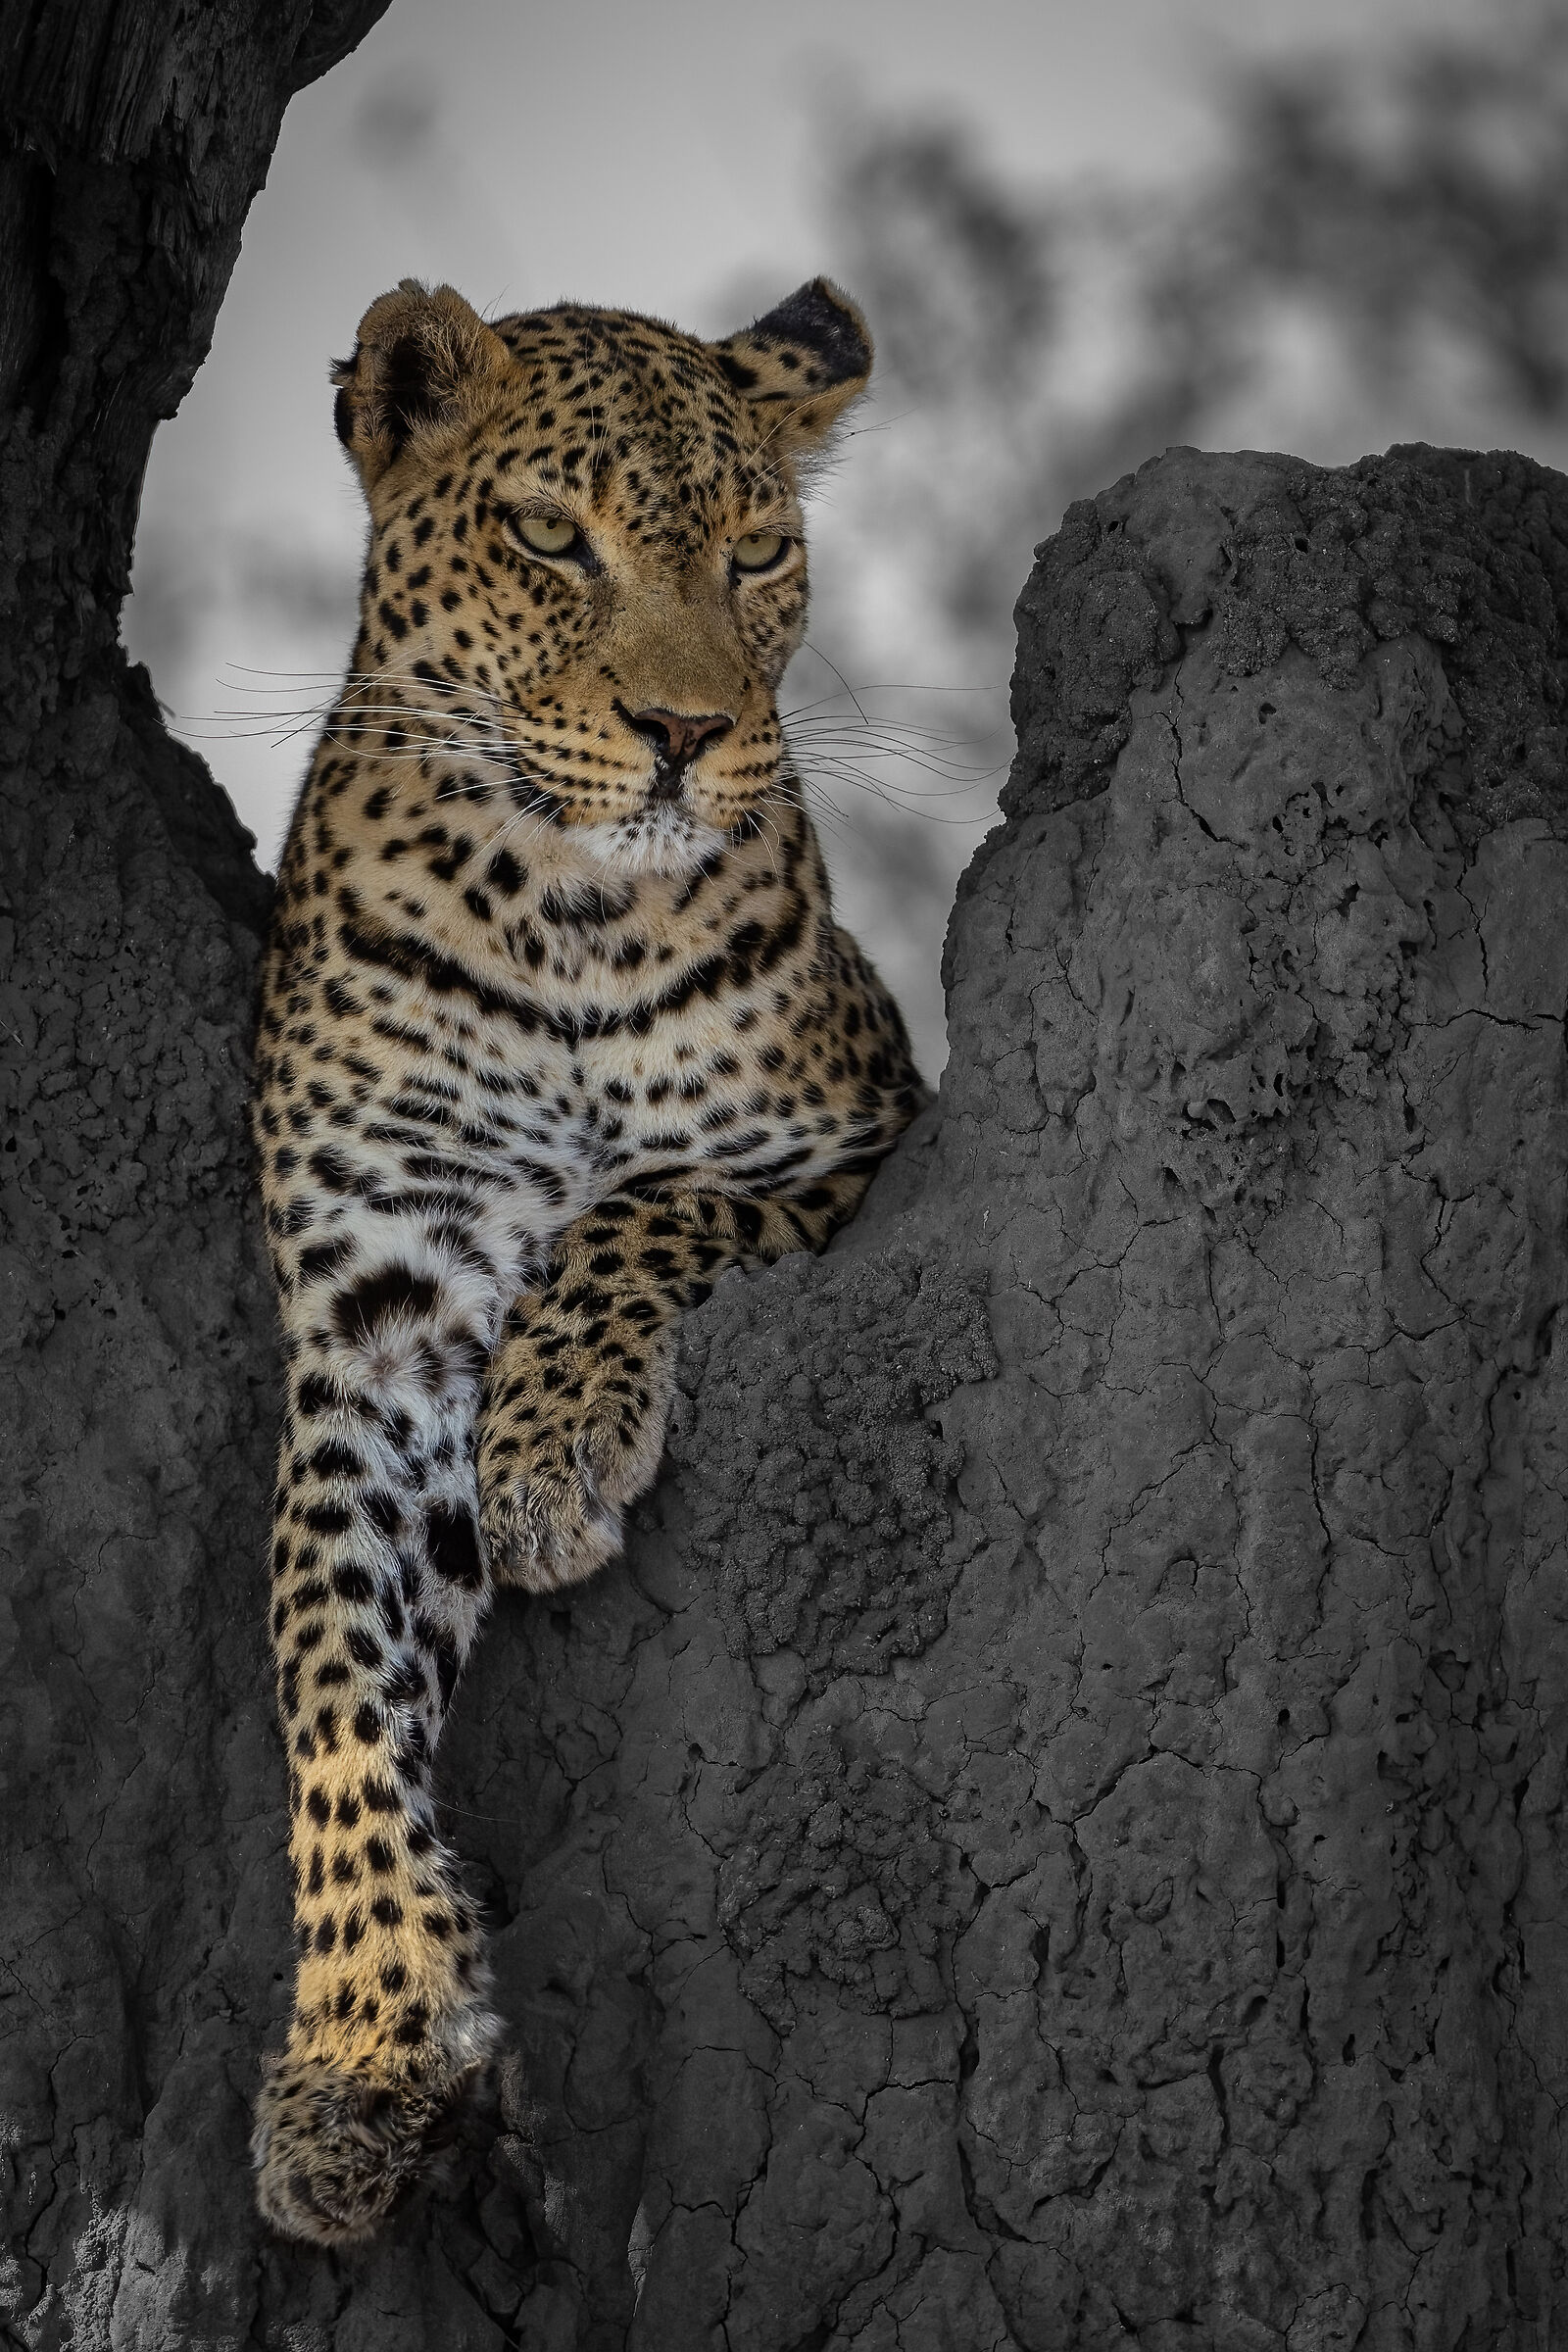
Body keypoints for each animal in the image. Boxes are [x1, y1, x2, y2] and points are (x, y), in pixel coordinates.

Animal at [247, 274, 922, 2245]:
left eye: (760, 552)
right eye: (554, 537)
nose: (686, 731)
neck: (556, 905)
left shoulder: (850, 1149)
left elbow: (647, 1202)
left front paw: (550, 1458)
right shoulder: (374, 1325)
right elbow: (330, 1673)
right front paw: (362, 2047)